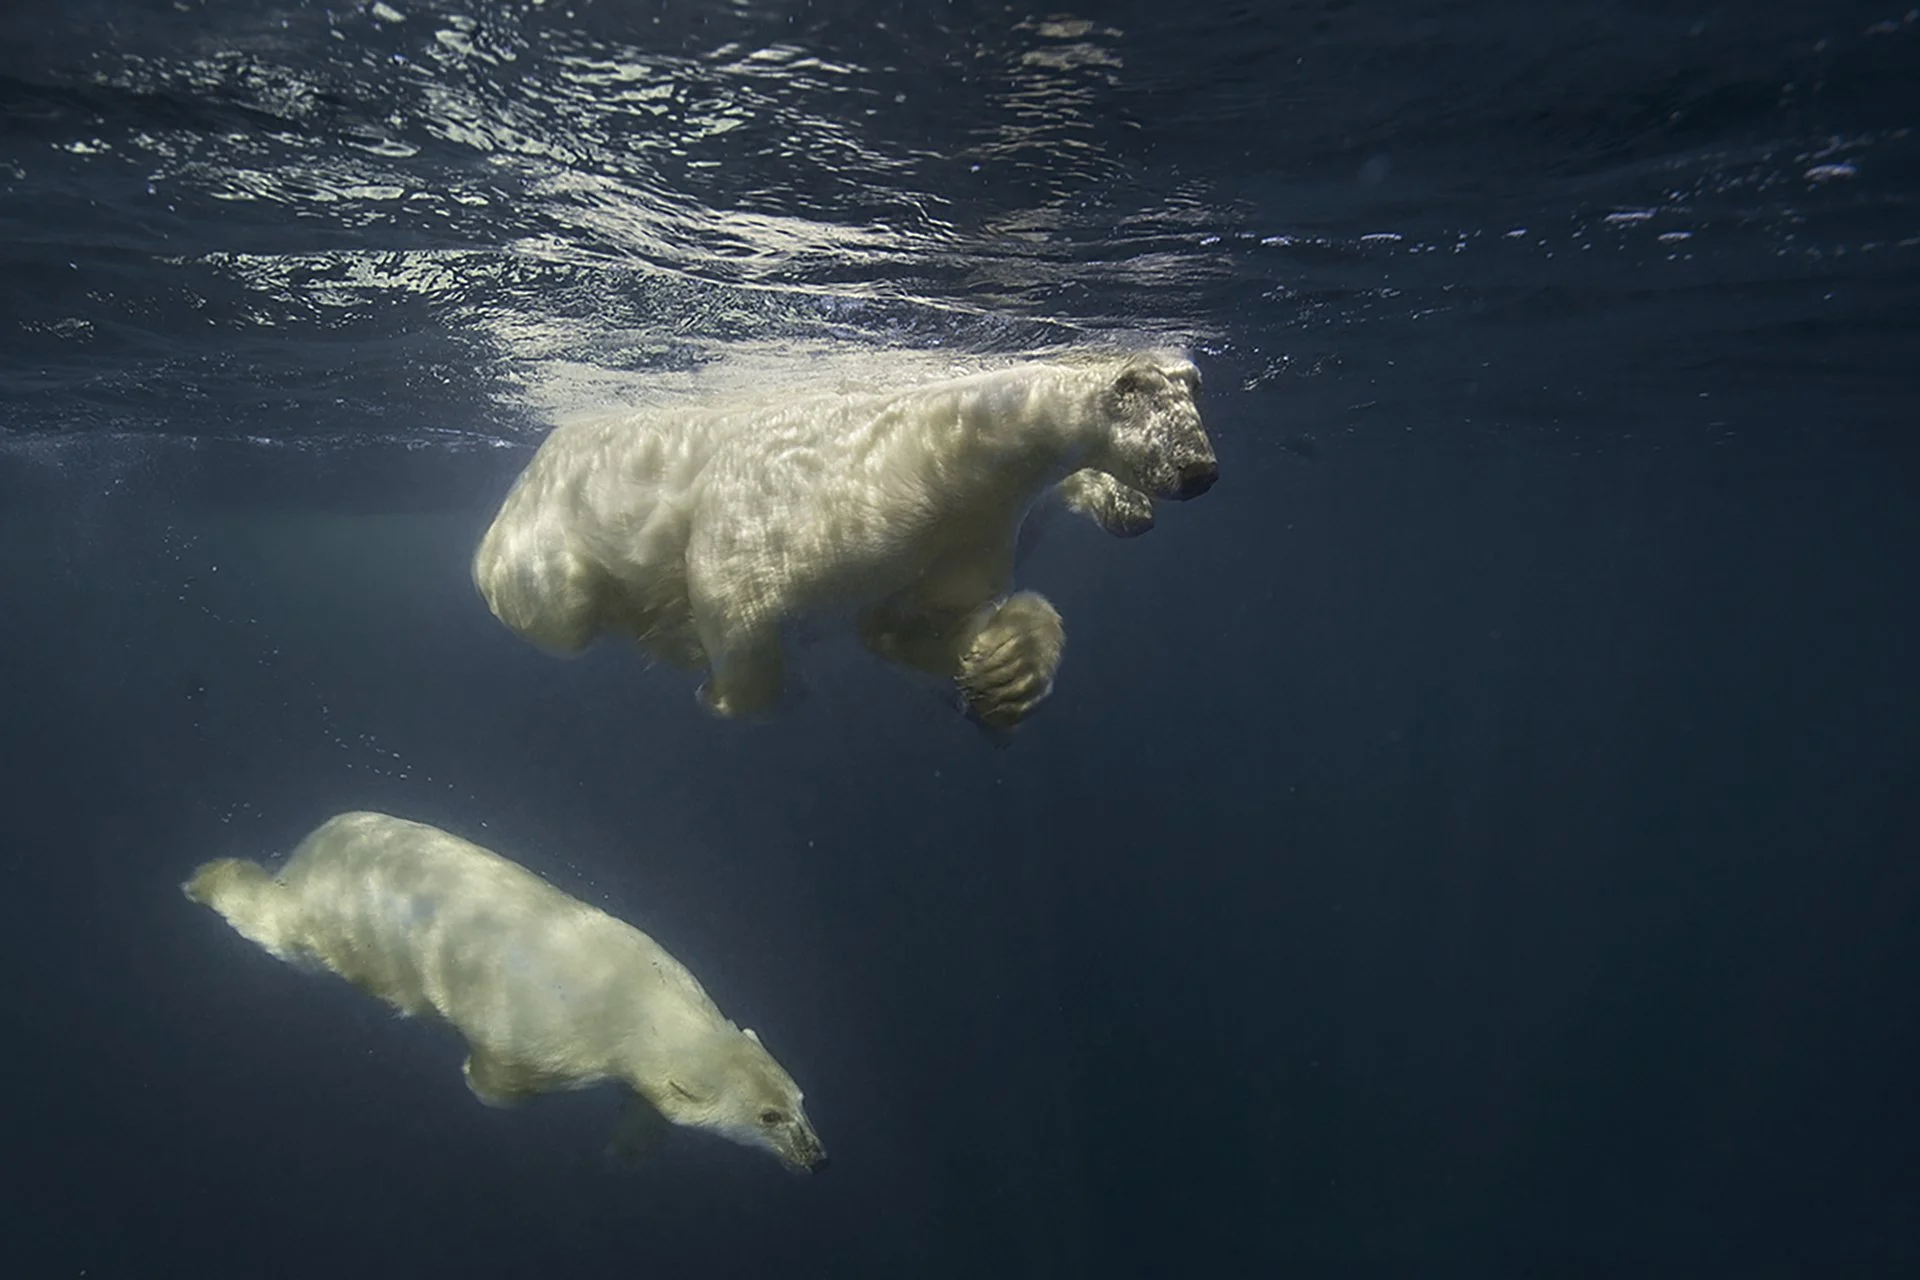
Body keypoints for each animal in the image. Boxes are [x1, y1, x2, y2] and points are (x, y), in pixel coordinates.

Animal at [183, 810, 827, 1174]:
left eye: (800, 1099)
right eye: (768, 1117)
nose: (816, 1157)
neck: (640, 999)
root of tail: (315, 846)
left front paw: (626, 1148)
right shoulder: (555, 1041)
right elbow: (502, 1075)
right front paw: (478, 1082)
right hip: (329, 928)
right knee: (276, 925)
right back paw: (207, 878)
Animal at [471, 349, 1217, 728]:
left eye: (1196, 401)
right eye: (1167, 418)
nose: (1201, 472)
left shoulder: (967, 528)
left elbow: (905, 625)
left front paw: (1006, 669)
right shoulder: (824, 499)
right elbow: (734, 587)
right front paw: (728, 691)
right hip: (545, 530)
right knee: (556, 606)